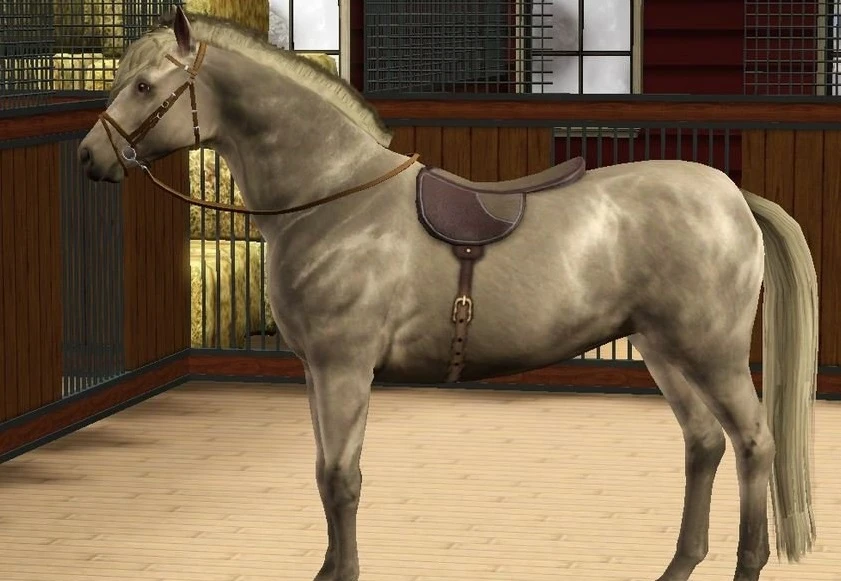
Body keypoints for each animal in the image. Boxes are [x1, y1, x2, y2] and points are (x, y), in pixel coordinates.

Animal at [77, 8, 818, 581]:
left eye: (143, 85)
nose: (89, 157)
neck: (335, 198)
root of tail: (733, 196)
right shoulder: (319, 371)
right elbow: (325, 473)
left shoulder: (345, 369)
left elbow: (341, 478)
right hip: (663, 350)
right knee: (703, 444)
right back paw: (677, 564)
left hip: (711, 353)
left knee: (752, 442)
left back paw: (745, 563)